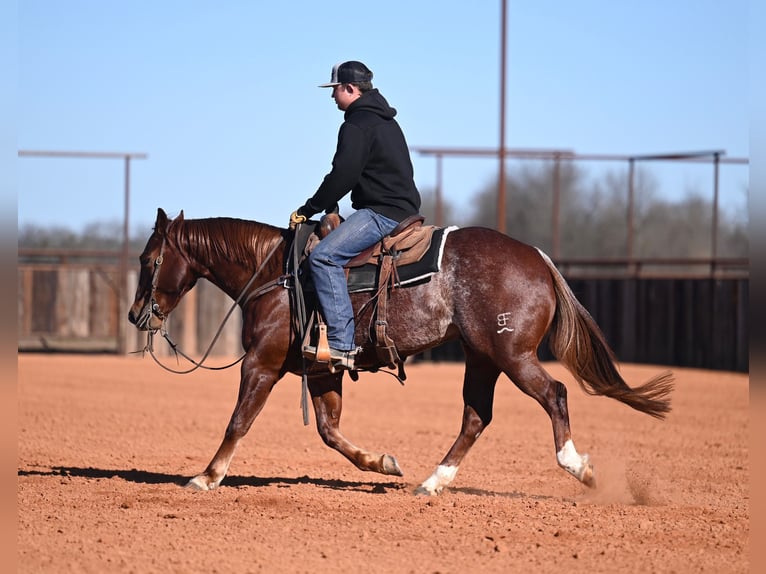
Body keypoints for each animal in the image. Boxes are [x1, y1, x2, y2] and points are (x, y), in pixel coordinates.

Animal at [129, 208, 673, 495]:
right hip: (483, 359)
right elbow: (329, 432)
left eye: (150, 259)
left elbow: (238, 421)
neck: (276, 275)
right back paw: (432, 481)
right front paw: (384, 464)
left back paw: (577, 466)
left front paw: (207, 476)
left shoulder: (262, 365)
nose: (137, 315)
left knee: (554, 393)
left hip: (513, 357)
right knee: (476, 417)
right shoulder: (321, 372)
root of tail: (537, 258)